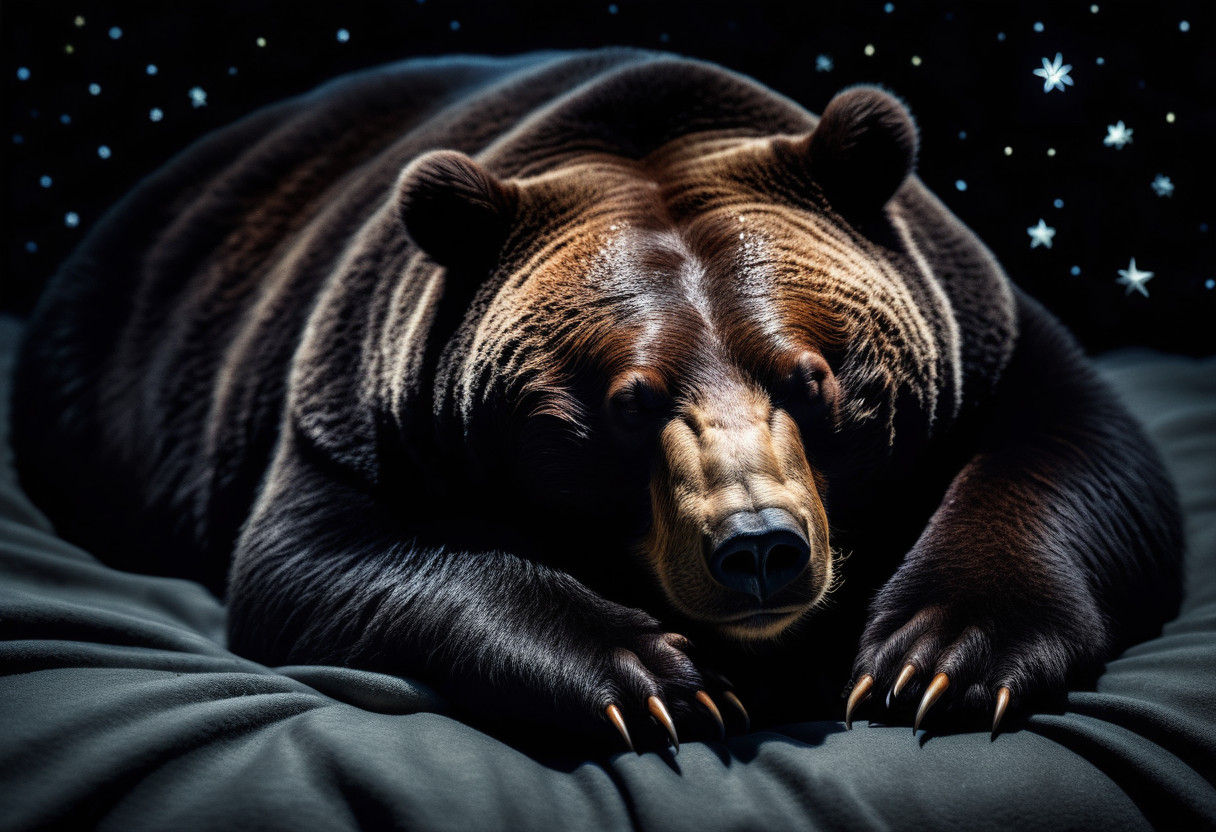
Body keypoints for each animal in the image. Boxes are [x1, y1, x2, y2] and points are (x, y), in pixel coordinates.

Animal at [13, 49, 1183, 751]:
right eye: (626, 403)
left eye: (813, 379)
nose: (759, 547)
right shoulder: (351, 414)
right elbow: (324, 559)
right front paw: (659, 675)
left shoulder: (986, 333)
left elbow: (1073, 457)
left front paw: (941, 661)